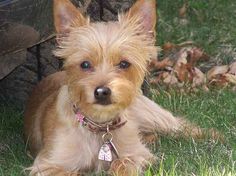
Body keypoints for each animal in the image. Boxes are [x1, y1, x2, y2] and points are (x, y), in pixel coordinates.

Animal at [23, 0, 218, 175]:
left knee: (181, 125)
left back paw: (214, 136)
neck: (100, 126)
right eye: (85, 64)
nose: (102, 92)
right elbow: (71, 172)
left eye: (124, 64)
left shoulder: (138, 154)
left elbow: (123, 162)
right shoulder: (47, 165)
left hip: (152, 115)